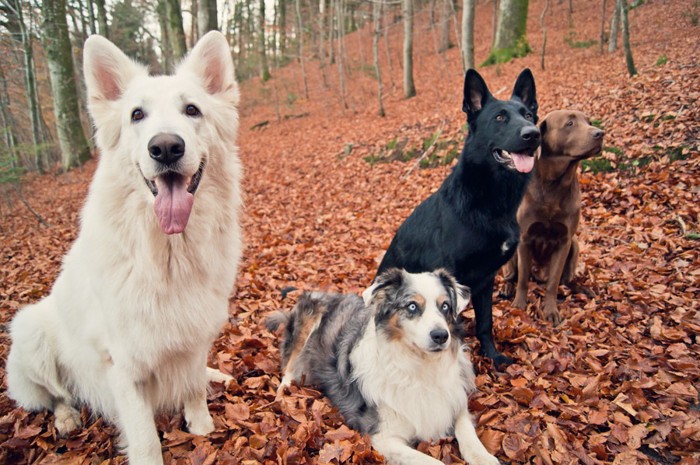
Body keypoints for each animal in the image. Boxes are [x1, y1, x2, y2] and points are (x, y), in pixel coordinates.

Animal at [6, 30, 243, 462]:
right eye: (137, 115)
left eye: (192, 110)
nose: (165, 147)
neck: (169, 254)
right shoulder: (124, 367)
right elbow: (146, 439)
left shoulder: (194, 335)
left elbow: (193, 387)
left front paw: (202, 428)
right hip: (30, 331)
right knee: (55, 395)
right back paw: (66, 417)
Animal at [266, 268, 500, 464]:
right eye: (412, 306)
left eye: (445, 306)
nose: (441, 336)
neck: (418, 365)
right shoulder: (382, 436)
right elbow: (434, 462)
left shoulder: (453, 399)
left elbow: (467, 432)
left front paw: (484, 457)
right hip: (308, 319)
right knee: (289, 367)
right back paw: (284, 392)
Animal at [378, 69, 540, 366]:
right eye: (500, 117)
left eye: (528, 115)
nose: (533, 134)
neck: (489, 201)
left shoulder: (486, 279)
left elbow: (485, 323)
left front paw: (492, 356)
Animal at [500, 110, 604, 324]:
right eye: (570, 123)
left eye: (588, 121)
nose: (600, 133)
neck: (553, 185)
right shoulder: (525, 238)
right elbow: (522, 279)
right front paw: (519, 305)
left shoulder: (564, 241)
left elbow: (554, 282)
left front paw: (550, 310)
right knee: (512, 275)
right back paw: (506, 286)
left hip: (575, 245)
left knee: (565, 280)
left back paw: (582, 289)